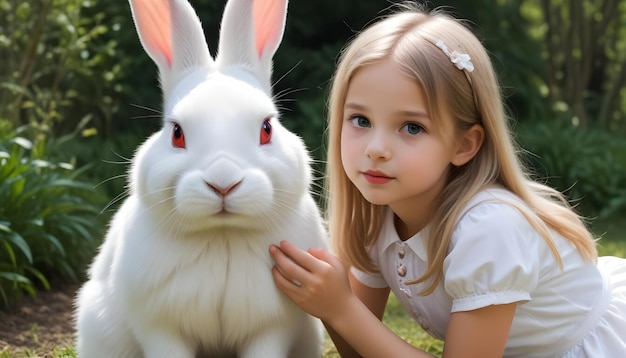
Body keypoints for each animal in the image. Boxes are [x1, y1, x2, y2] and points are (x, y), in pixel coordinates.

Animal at [73, 0, 326, 356]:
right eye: (177, 133)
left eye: (267, 128)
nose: (223, 182)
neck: (223, 237)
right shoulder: (160, 327)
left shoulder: (271, 327)